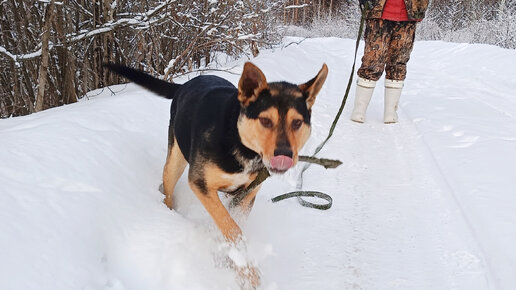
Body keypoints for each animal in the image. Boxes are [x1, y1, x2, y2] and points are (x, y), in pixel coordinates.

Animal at [106, 61, 326, 288]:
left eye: (297, 123)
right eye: (265, 121)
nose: (285, 154)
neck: (240, 142)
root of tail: (186, 84)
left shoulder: (246, 194)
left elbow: (234, 224)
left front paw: (235, 263)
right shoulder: (200, 183)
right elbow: (231, 227)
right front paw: (248, 272)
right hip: (175, 161)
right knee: (168, 190)